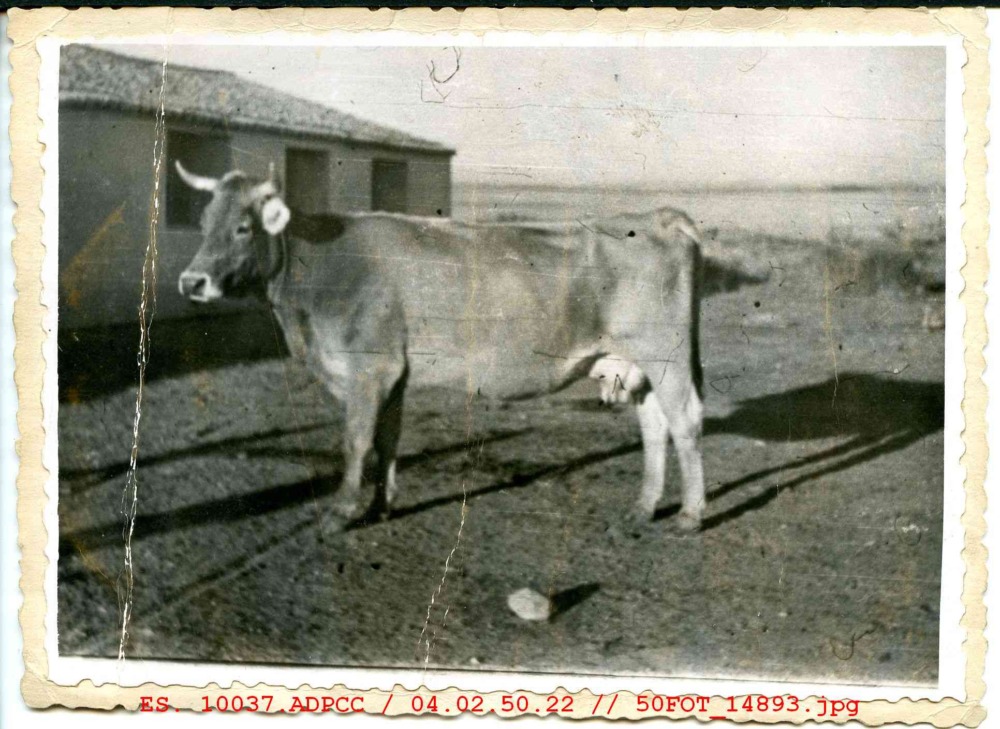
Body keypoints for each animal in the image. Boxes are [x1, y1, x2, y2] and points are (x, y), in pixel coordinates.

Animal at [175, 162, 706, 532]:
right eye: (203, 222)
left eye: (243, 227)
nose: (191, 281)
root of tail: (659, 216)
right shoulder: (394, 372)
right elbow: (387, 439)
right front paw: (381, 506)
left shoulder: (369, 366)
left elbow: (355, 439)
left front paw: (341, 512)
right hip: (636, 362)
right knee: (654, 426)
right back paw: (642, 508)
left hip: (666, 355)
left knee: (684, 422)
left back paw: (690, 515)